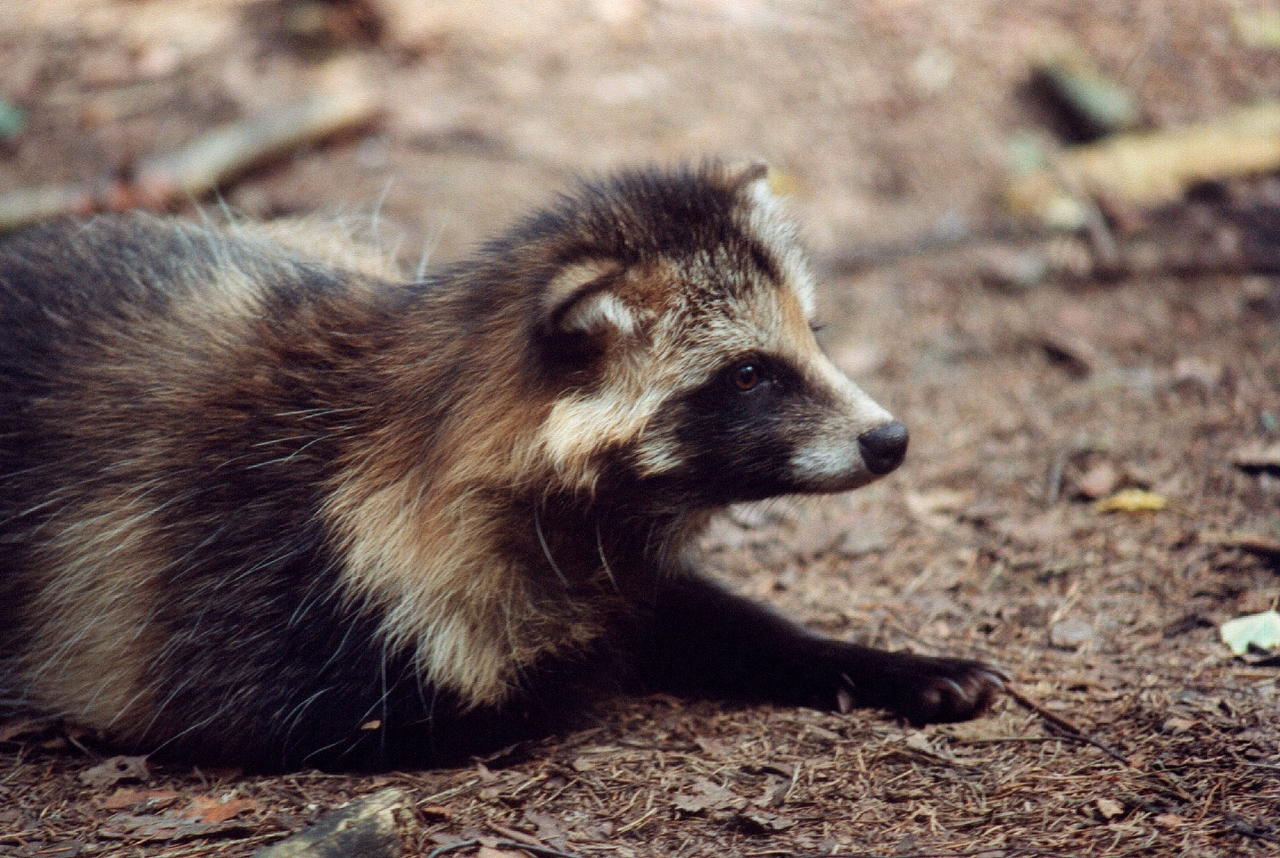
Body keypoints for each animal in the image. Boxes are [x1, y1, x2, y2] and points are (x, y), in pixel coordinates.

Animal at [0, 165, 998, 768]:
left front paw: (866, 658)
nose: (890, 439)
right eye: (750, 375)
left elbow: (683, 614)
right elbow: (425, 710)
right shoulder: (245, 584)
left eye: (813, 337)